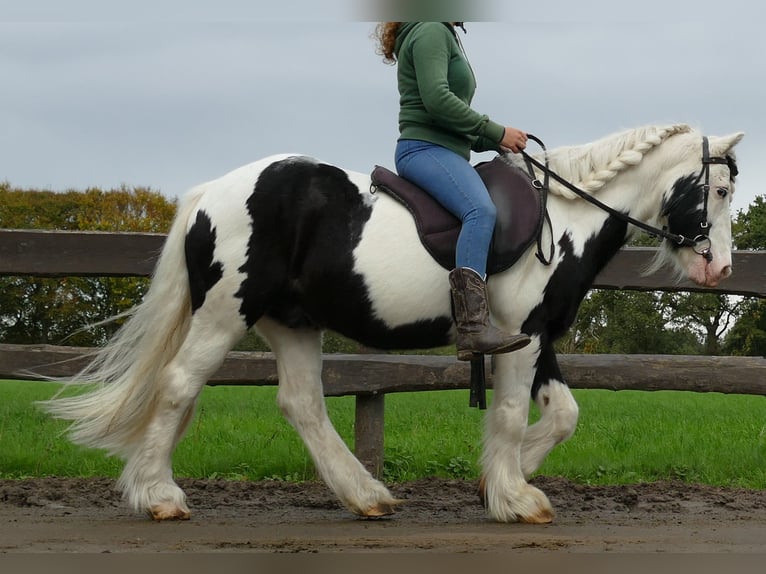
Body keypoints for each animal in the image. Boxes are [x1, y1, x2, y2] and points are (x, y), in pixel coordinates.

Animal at [42, 122, 744, 528]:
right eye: (719, 191)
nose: (720, 268)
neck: (566, 215)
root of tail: (207, 195)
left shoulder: (538, 334)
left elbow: (562, 415)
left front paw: (496, 481)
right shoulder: (519, 331)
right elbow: (512, 414)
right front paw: (514, 496)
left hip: (292, 322)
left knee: (302, 404)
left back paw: (365, 495)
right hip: (223, 313)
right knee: (179, 385)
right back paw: (158, 496)